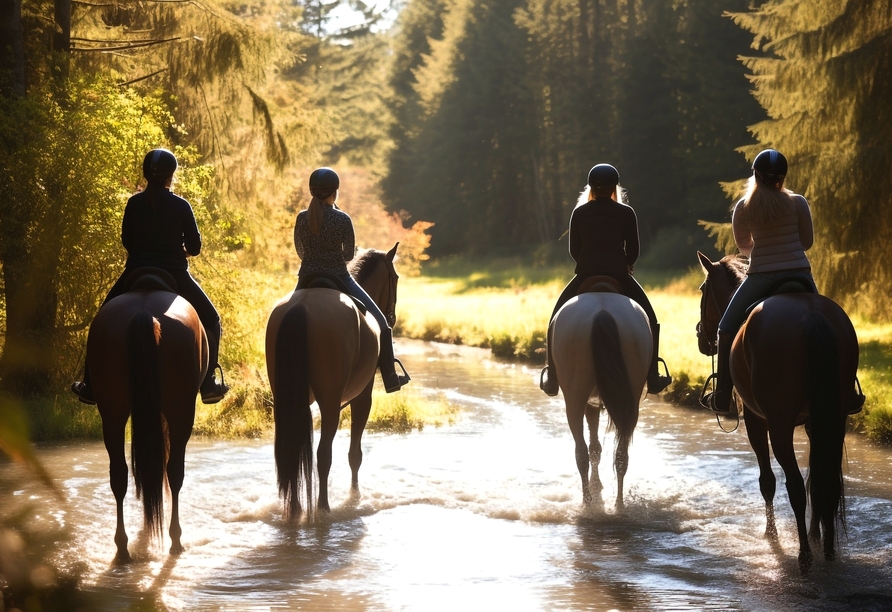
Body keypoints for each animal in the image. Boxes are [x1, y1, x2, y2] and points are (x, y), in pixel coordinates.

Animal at [89, 272, 211, 564]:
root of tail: (144, 313)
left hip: (112, 412)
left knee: (120, 475)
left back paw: (122, 549)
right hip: (181, 411)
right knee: (174, 471)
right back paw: (175, 540)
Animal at [264, 243, 400, 516]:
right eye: (396, 278)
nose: (392, 318)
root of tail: (300, 308)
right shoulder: (363, 396)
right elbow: (354, 454)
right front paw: (354, 496)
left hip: (286, 401)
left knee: (290, 449)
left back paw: (295, 508)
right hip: (329, 402)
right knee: (323, 454)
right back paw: (323, 508)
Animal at [548, 284, 652, 510]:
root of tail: (602, 312)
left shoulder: (590, 403)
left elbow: (593, 448)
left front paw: (596, 487)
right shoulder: (595, 404)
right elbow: (597, 448)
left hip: (575, 399)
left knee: (581, 453)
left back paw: (588, 503)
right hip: (630, 401)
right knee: (621, 455)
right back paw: (619, 504)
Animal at [692, 251, 860, 572]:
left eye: (702, 290)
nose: (700, 338)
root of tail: (812, 318)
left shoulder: (755, 420)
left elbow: (767, 481)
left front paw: (771, 534)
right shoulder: (814, 424)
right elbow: (816, 478)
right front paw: (816, 535)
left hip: (780, 427)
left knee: (794, 486)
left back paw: (804, 555)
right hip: (834, 421)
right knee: (823, 483)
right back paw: (826, 549)